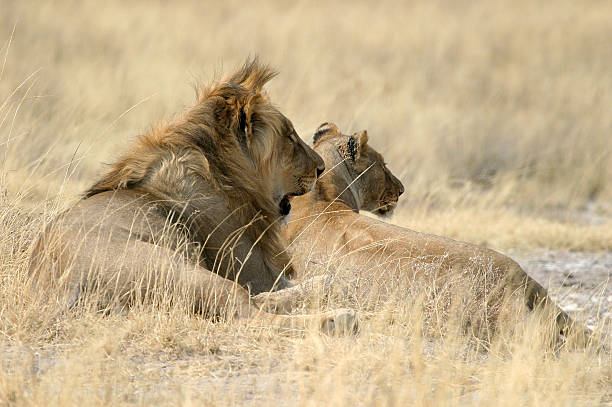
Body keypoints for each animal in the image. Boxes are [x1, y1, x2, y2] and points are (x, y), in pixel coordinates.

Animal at [27, 61, 358, 334]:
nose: (320, 167)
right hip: (179, 269)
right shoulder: (253, 270)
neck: (224, 171)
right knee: (248, 313)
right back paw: (337, 319)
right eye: (289, 137)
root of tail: (56, 291)